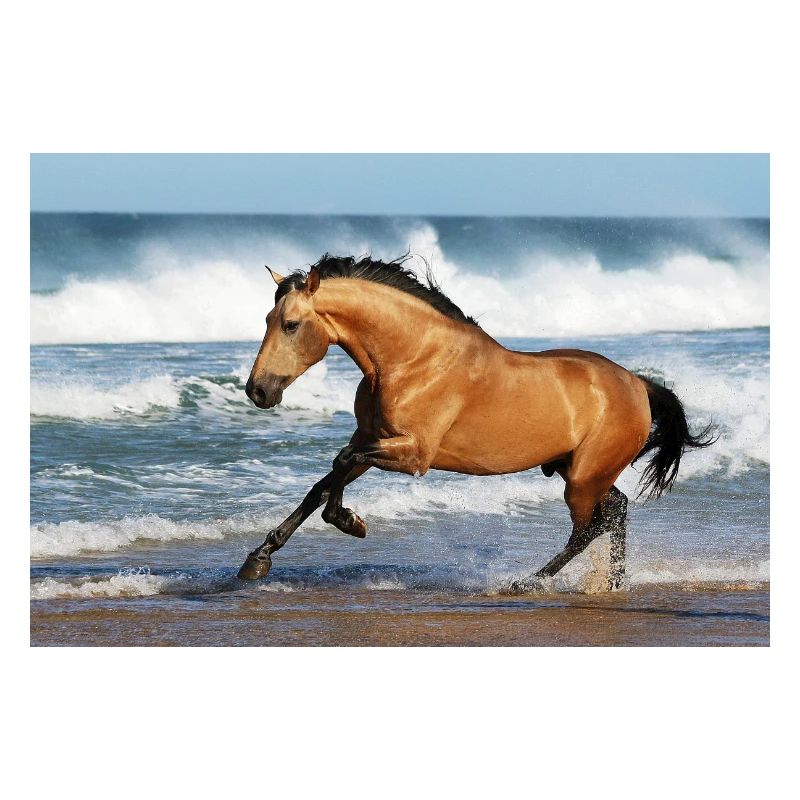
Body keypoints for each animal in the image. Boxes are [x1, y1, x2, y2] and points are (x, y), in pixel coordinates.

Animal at [238, 254, 715, 590]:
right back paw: (611, 582)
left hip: (583, 478)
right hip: (576, 468)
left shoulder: (412, 454)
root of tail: (637, 384)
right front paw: (258, 559)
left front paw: (349, 521)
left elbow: (340, 463)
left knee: (590, 527)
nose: (257, 391)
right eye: (267, 320)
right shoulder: (373, 438)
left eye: (290, 324)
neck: (413, 359)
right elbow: (323, 482)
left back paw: (528, 582)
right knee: (616, 511)